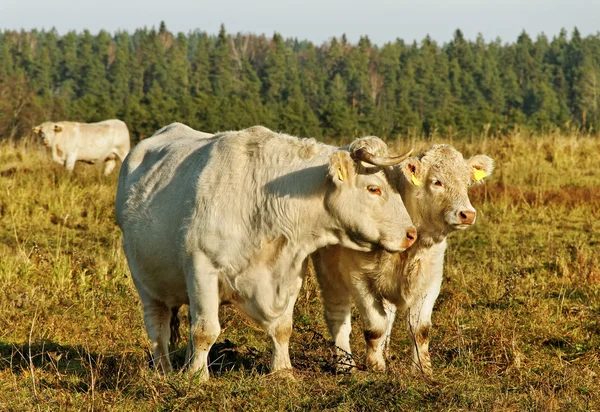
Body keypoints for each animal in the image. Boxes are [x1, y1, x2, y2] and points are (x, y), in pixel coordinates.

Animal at [116, 123, 418, 380]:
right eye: (374, 188)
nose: (411, 234)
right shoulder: (202, 268)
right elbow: (205, 331)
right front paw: (197, 377)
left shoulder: (289, 270)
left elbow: (283, 327)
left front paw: (283, 371)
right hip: (146, 282)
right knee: (158, 327)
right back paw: (164, 370)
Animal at [312, 145, 494, 376]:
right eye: (436, 182)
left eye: (467, 183)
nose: (467, 214)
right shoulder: (359, 279)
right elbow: (375, 326)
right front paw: (375, 364)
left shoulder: (430, 280)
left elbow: (419, 329)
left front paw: (422, 368)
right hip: (329, 274)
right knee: (338, 315)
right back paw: (345, 364)